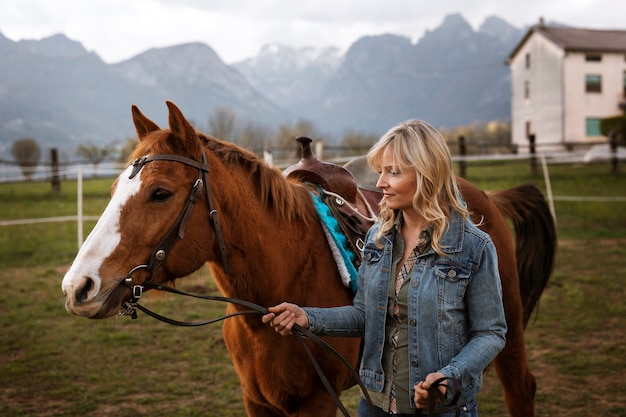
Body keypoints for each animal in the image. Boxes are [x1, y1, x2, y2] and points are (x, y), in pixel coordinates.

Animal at [61, 101, 552, 416]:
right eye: (112, 190)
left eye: (160, 193)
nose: (78, 286)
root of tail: (481, 195)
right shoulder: (257, 404)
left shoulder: (315, 403)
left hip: (505, 327)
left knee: (521, 388)